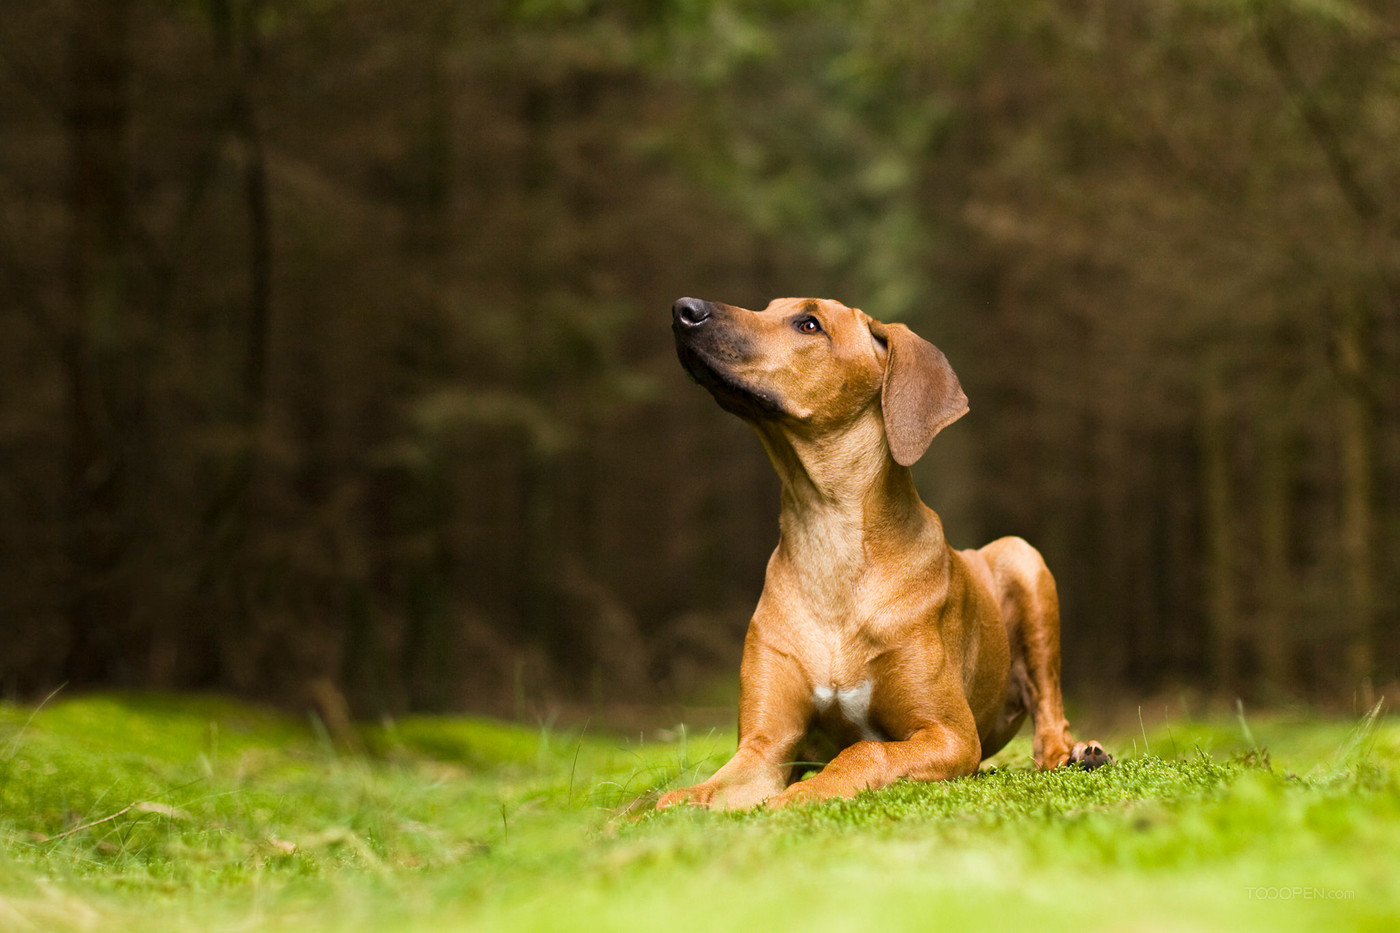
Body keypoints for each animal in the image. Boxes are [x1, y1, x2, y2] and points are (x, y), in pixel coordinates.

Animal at [660, 295, 1108, 806]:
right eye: (770, 307)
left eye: (808, 324)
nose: (684, 308)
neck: (830, 535)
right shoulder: (766, 746)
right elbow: (689, 794)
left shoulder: (950, 734)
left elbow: (865, 751)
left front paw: (797, 797)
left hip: (1022, 558)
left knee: (1050, 717)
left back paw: (1079, 754)